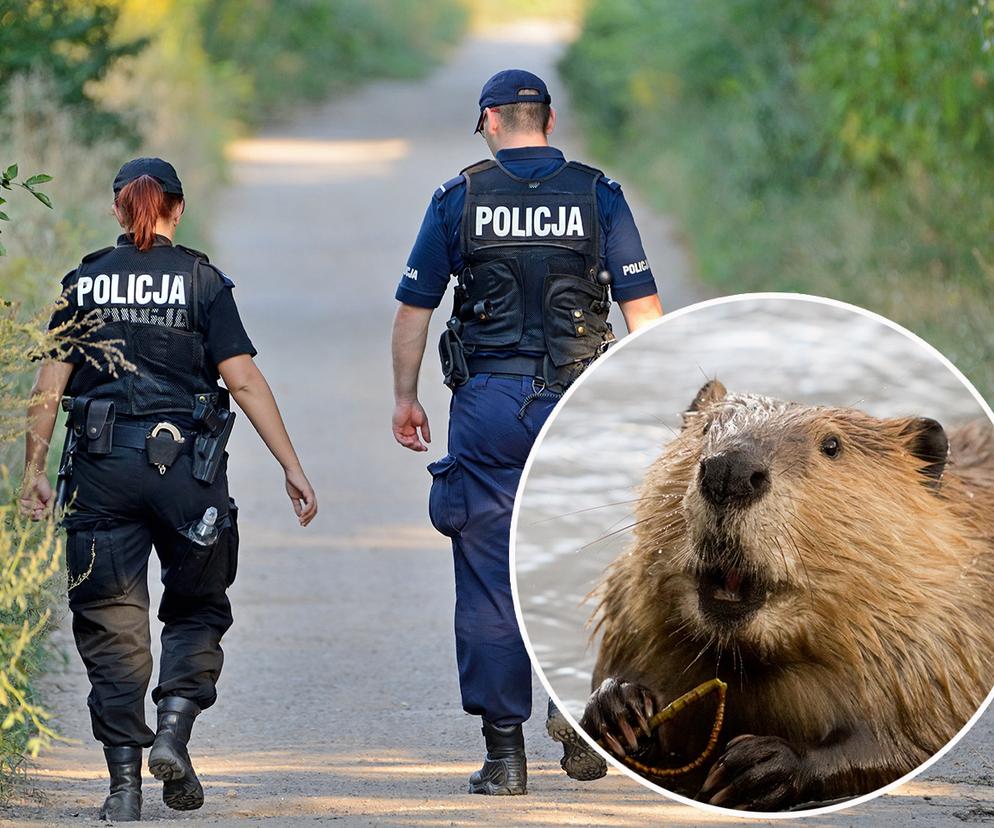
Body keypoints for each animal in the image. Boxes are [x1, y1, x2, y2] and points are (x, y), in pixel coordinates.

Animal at [576, 380, 992, 808]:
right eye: (706, 427)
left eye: (832, 445)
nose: (731, 471)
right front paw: (619, 708)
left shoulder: (940, 649)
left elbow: (908, 743)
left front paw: (758, 766)